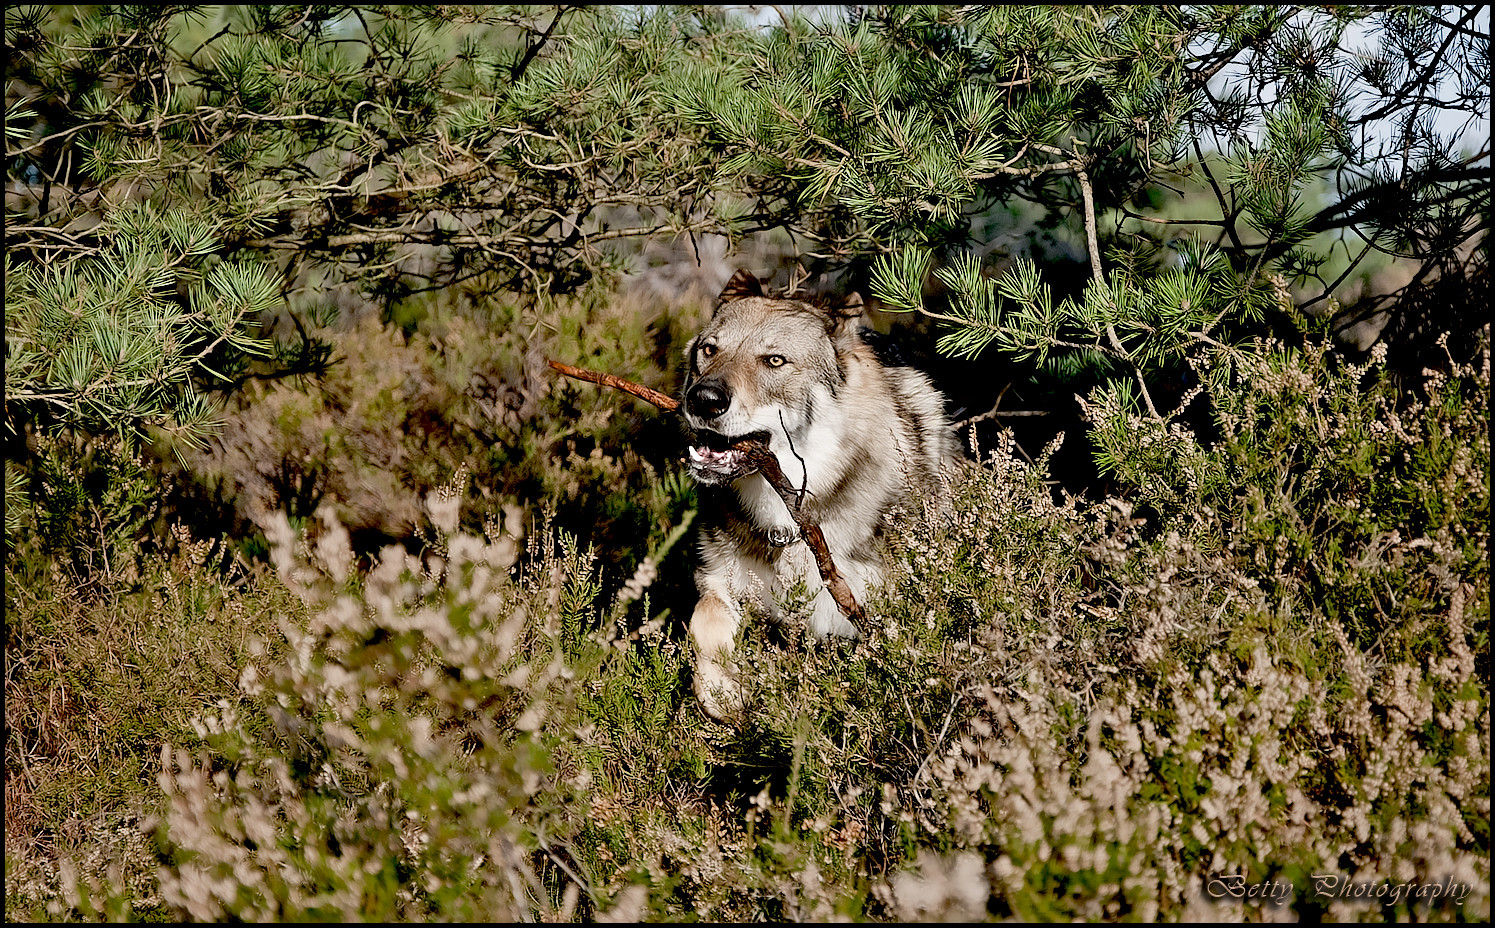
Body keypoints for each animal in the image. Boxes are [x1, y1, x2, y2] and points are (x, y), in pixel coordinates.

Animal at [681, 267, 950, 717]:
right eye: (709, 349)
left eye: (774, 360)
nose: (703, 398)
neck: (787, 525)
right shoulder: (718, 581)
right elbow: (706, 626)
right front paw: (725, 690)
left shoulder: (851, 613)